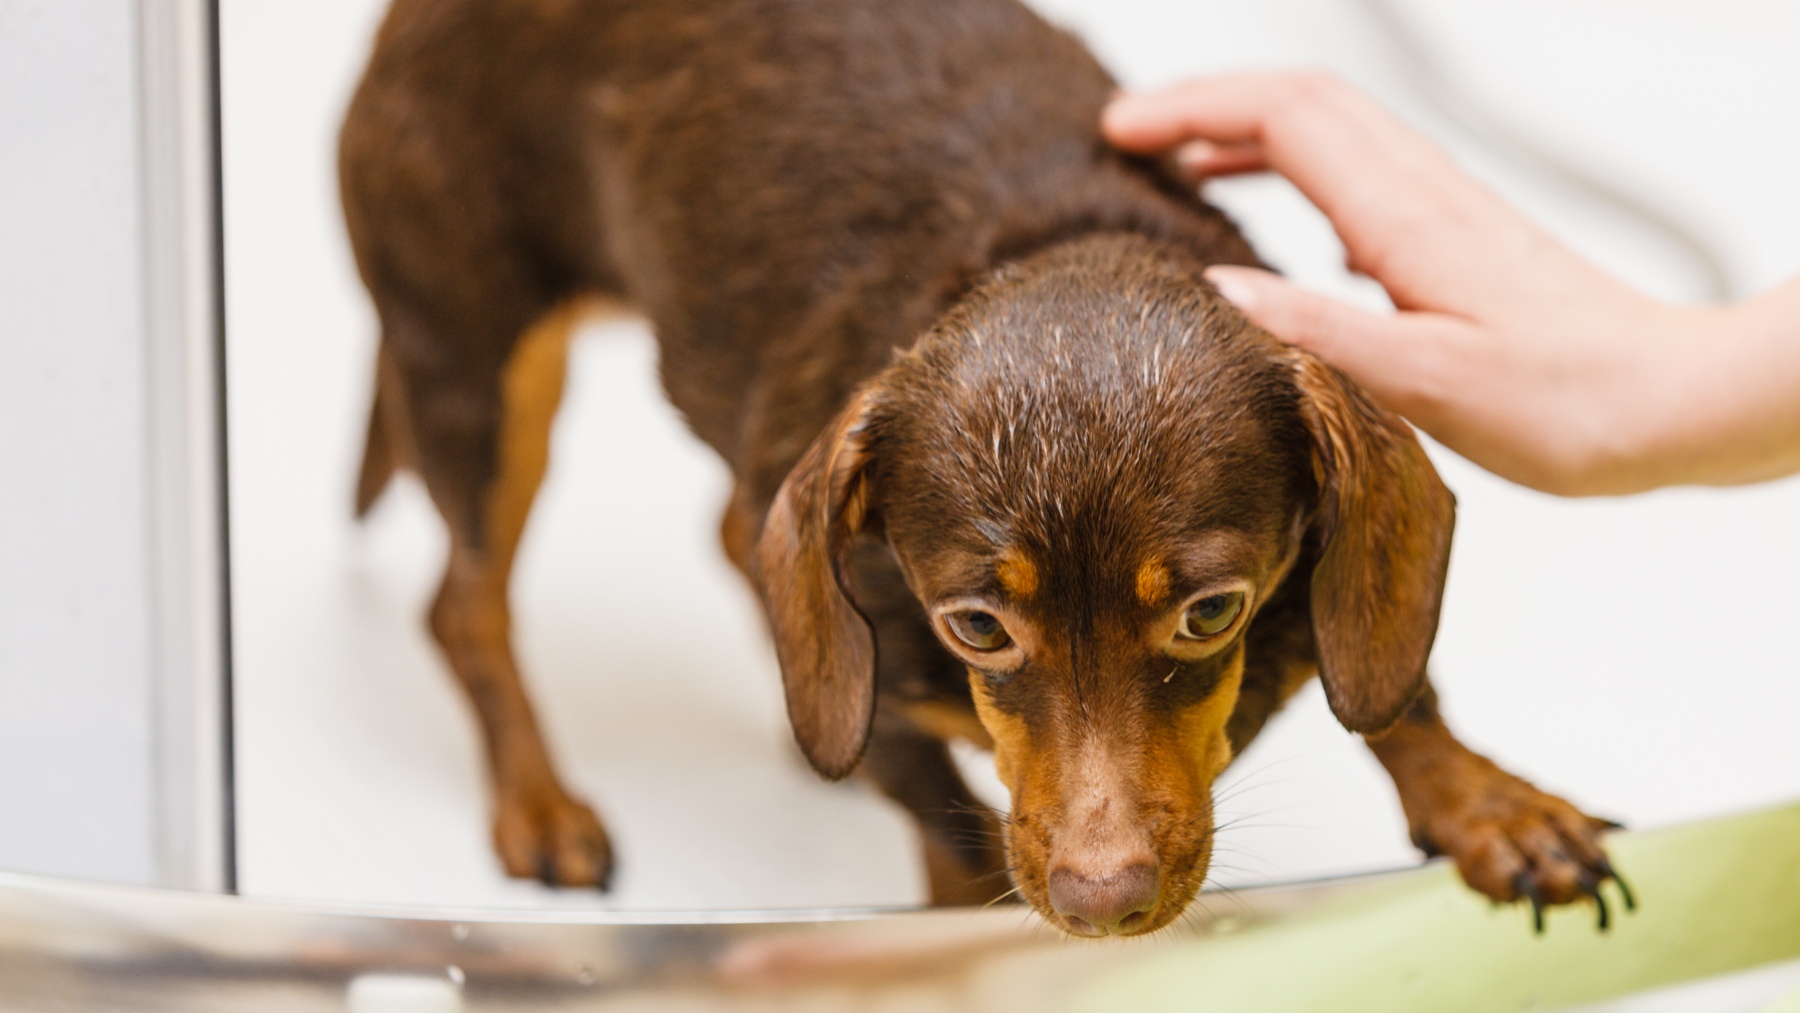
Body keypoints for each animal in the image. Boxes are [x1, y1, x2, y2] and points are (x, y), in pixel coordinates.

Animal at [340, 0, 1634, 935]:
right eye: (974, 626)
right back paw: (538, 804)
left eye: (1213, 610)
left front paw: (1487, 803)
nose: (1105, 904)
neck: (1052, 247)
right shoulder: (887, 694)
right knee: (465, 601)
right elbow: (942, 811)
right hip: (479, 370)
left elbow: (1386, 675)